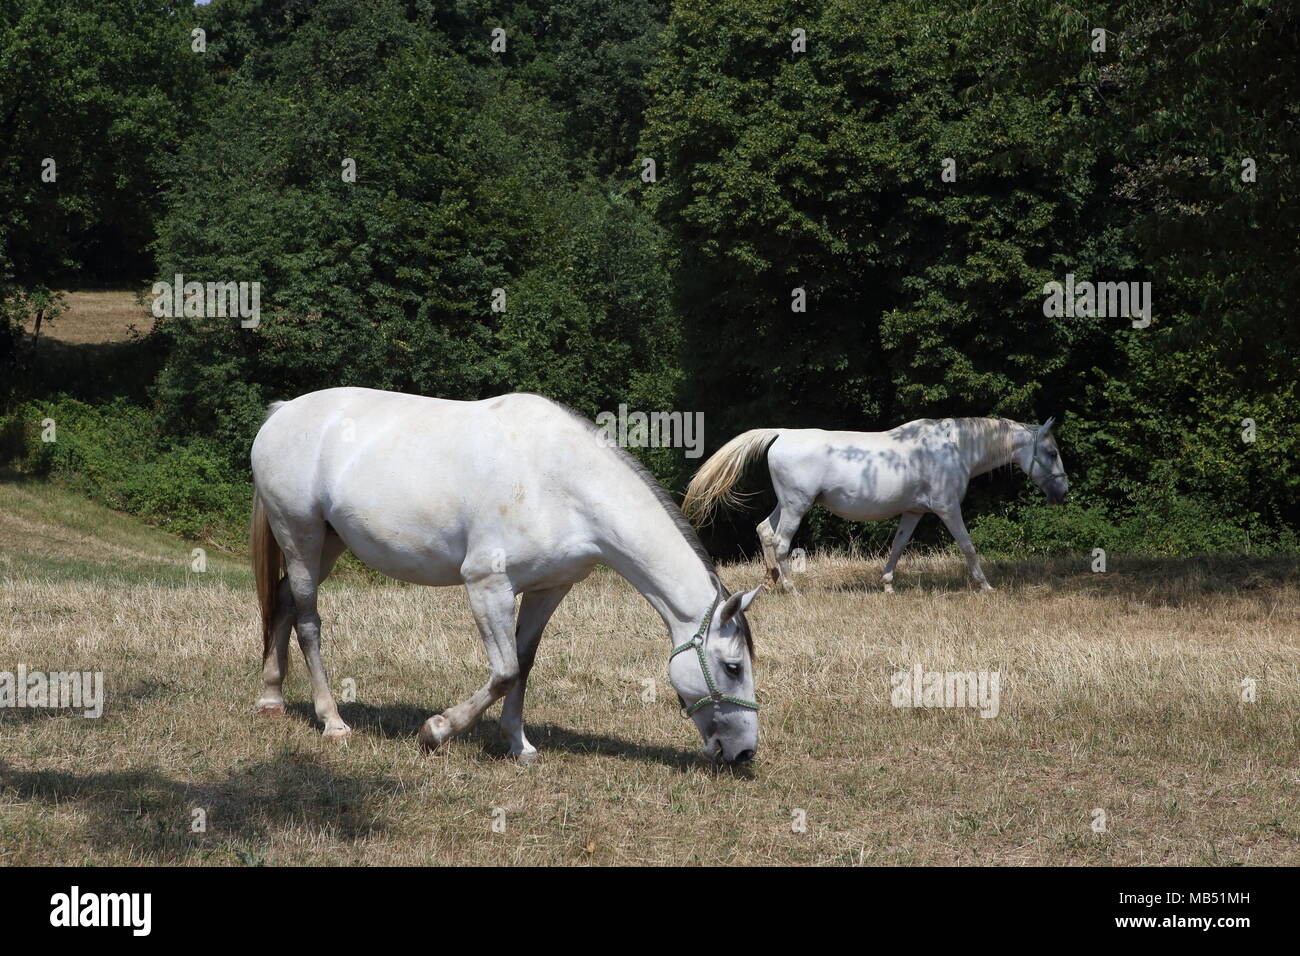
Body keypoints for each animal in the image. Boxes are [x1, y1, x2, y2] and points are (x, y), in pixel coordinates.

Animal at [250, 387, 763, 765]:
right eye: (733, 667)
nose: (744, 753)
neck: (561, 483)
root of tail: (282, 413)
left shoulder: (547, 590)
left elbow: (524, 664)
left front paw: (519, 745)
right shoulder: (487, 586)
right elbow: (504, 672)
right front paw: (436, 731)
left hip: (327, 542)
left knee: (283, 602)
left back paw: (271, 700)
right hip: (300, 537)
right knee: (307, 622)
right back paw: (333, 722)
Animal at [682, 417, 1069, 593]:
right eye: (1051, 452)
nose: (1063, 493)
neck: (953, 447)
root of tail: (783, 434)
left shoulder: (914, 511)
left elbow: (897, 545)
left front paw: (887, 584)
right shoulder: (947, 509)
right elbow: (968, 545)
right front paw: (985, 585)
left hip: (787, 503)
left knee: (764, 530)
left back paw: (771, 580)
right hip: (797, 505)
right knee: (780, 541)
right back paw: (791, 587)